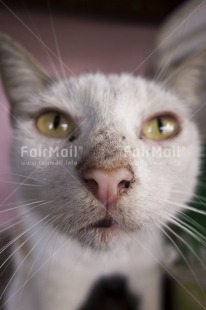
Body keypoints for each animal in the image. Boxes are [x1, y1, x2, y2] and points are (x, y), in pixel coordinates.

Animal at [0, 4, 205, 310]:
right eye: (54, 122)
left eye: (161, 126)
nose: (108, 179)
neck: (105, 264)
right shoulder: (54, 287)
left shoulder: (147, 278)